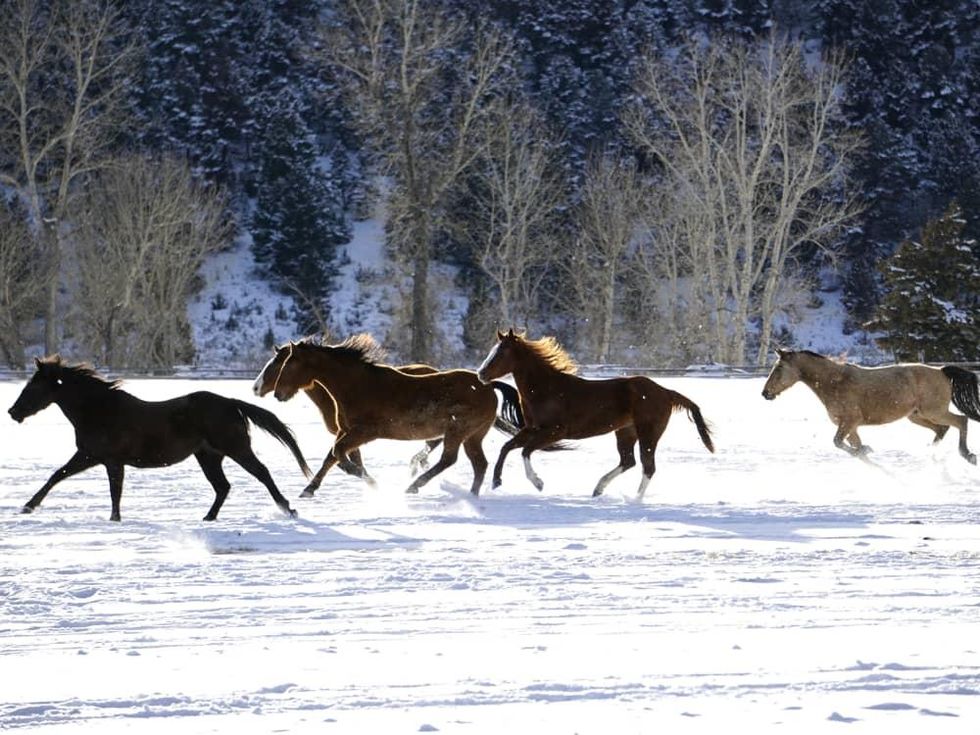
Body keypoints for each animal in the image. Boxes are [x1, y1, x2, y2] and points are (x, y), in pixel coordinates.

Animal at [7, 356, 311, 521]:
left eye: (34, 386)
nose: (12, 412)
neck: (100, 410)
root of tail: (231, 403)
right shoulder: (93, 457)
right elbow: (58, 476)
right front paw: (28, 506)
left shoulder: (106, 460)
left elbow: (110, 490)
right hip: (209, 457)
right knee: (223, 487)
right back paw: (208, 517)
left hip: (236, 449)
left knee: (261, 473)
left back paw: (288, 508)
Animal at [251, 334, 524, 496]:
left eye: (288, 364)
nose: (278, 393)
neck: (356, 385)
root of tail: (487, 385)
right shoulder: (346, 431)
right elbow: (332, 456)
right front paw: (310, 488)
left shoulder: (364, 432)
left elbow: (339, 455)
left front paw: (365, 478)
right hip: (472, 436)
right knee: (479, 464)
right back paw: (471, 493)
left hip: (458, 432)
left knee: (449, 459)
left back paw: (413, 486)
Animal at [476, 329, 715, 499]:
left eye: (502, 352)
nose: (481, 374)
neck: (547, 389)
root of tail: (666, 392)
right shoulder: (532, 428)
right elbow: (507, 447)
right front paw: (496, 482)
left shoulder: (555, 431)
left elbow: (525, 451)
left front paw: (538, 483)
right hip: (626, 432)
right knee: (629, 461)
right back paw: (598, 489)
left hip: (648, 433)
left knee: (648, 467)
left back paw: (634, 500)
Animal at [762, 349, 980, 464]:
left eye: (779, 368)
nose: (765, 393)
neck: (834, 382)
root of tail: (941, 370)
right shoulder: (850, 427)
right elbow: (853, 446)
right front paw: (865, 452)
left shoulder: (850, 422)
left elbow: (838, 442)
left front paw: (866, 450)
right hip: (916, 415)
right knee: (943, 429)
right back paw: (931, 455)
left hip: (933, 411)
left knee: (961, 421)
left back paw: (968, 455)